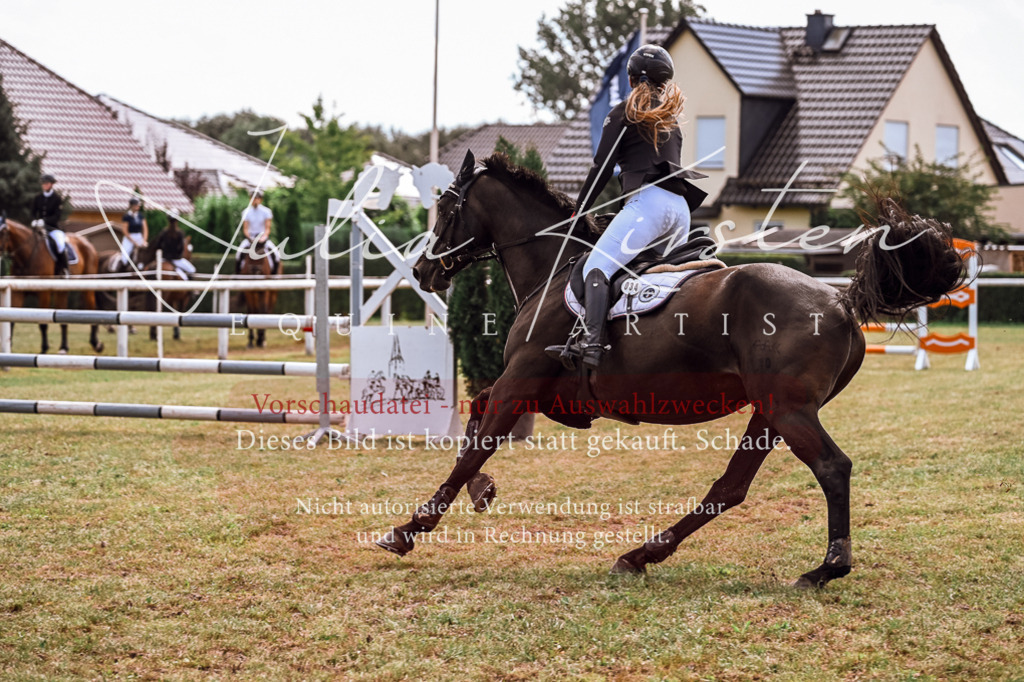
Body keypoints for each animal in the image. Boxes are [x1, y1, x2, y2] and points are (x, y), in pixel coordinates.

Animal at [0, 215, 105, 354]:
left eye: (2, 232)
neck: (28, 254)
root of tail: (85, 241)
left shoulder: (44, 293)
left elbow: (43, 323)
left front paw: (44, 349)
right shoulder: (18, 292)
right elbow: (11, 319)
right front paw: (9, 347)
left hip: (87, 286)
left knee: (92, 307)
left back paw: (96, 344)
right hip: (62, 291)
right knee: (63, 315)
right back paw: (64, 347)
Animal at [375, 151, 968, 589]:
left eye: (445, 208)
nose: (423, 271)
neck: (552, 271)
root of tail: (839, 299)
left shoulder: (521, 382)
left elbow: (476, 444)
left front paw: (410, 528)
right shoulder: (538, 392)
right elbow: (475, 423)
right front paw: (482, 491)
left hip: (789, 411)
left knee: (831, 468)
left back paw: (826, 568)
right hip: (770, 414)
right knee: (730, 487)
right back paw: (642, 554)